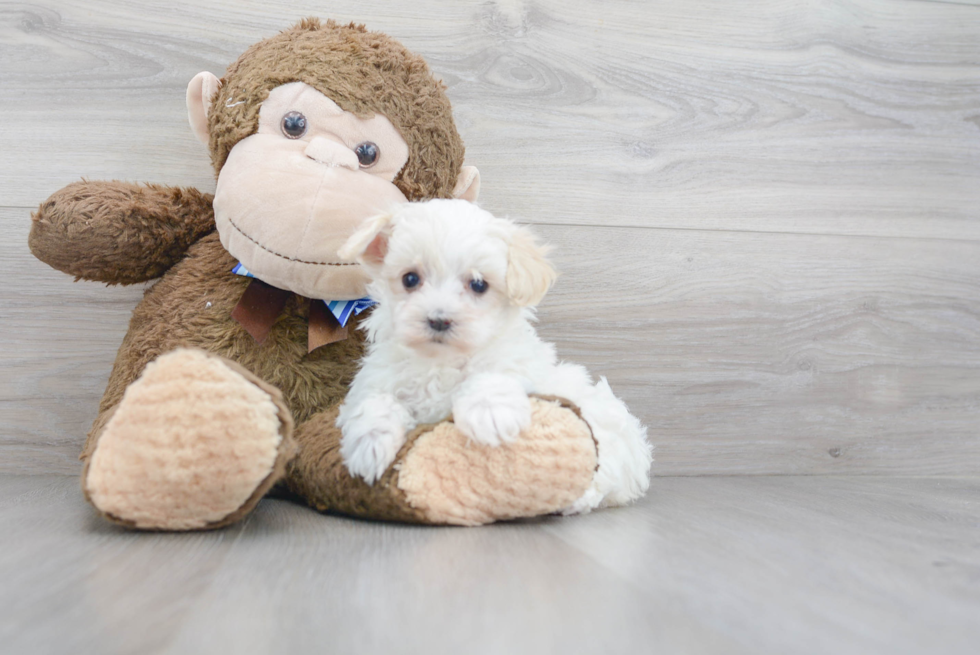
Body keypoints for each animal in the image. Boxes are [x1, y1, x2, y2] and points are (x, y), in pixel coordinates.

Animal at [336, 199, 652, 512]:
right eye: (410, 279)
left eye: (478, 285)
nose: (438, 319)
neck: (441, 361)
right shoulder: (378, 377)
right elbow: (373, 401)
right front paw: (370, 443)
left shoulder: (519, 364)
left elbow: (493, 374)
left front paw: (490, 414)